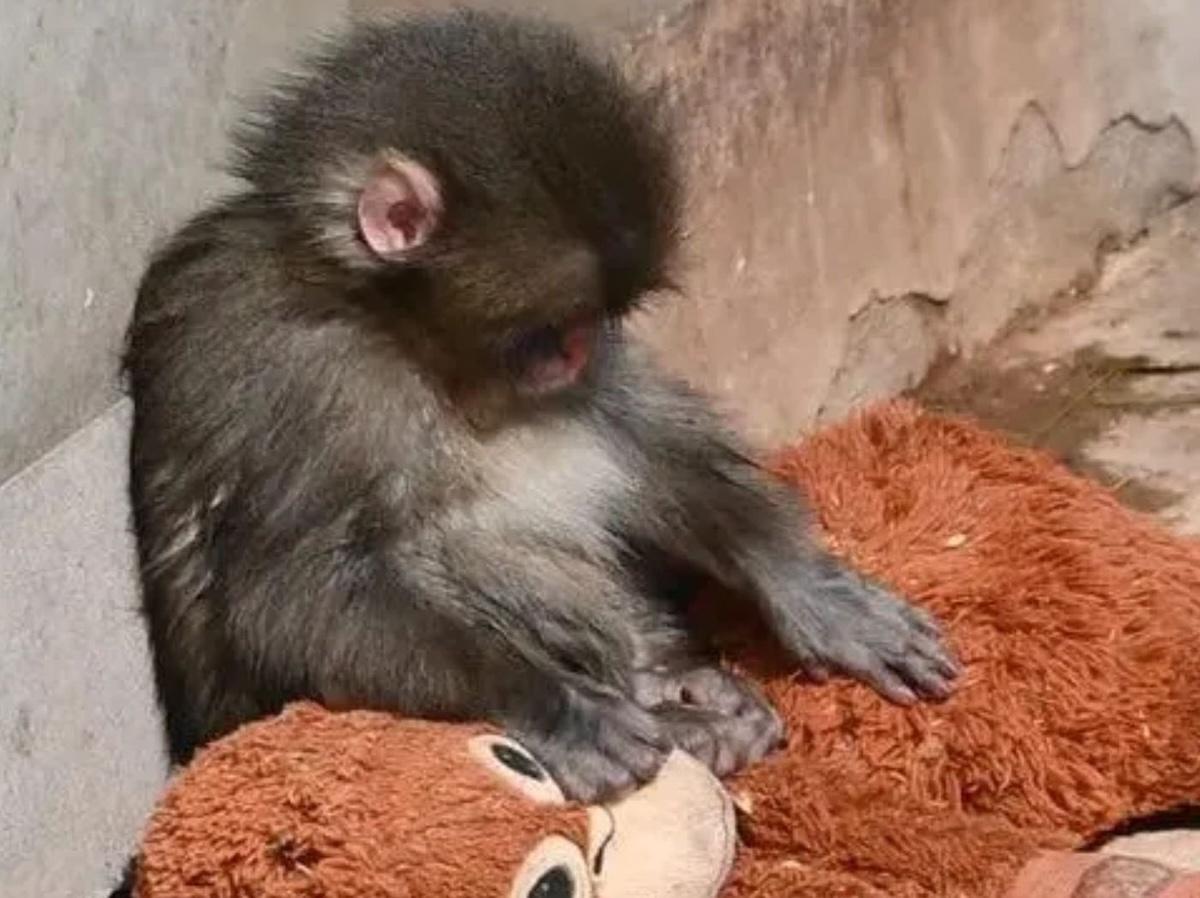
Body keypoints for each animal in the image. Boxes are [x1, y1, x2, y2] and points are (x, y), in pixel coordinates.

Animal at [123, 9, 959, 805]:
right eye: (546, 332)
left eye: (594, 322)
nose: (579, 354)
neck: (388, 324)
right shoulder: (293, 370)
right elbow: (287, 592)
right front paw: (556, 706)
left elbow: (632, 426)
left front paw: (806, 583)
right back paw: (669, 705)